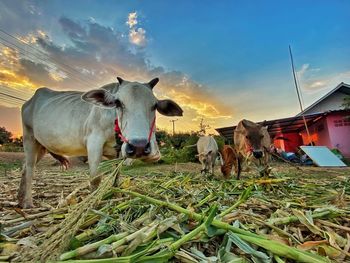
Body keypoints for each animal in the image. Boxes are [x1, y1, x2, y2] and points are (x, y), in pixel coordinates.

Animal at [18, 77, 183, 208]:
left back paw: (20, 200)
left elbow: (116, 178)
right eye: (118, 103)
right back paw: (27, 203)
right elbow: (95, 179)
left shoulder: (118, 154)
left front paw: (115, 195)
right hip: (29, 138)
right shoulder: (94, 143)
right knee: (30, 169)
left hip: (41, 146)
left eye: (154, 106)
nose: (139, 146)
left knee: (24, 168)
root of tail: (30, 101)